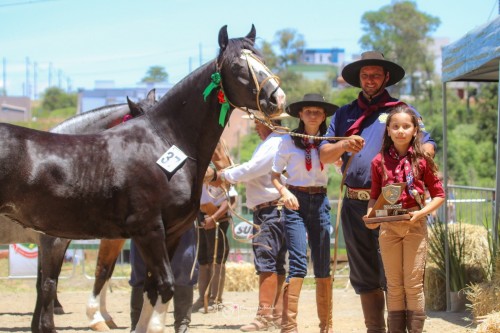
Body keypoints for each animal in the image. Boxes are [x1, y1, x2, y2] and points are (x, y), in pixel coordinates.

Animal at [0, 26, 284, 332]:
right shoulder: (146, 231)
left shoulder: (170, 233)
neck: (164, 142)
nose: (276, 99)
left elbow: (152, 289)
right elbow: (163, 286)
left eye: (262, 59)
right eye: (236, 66)